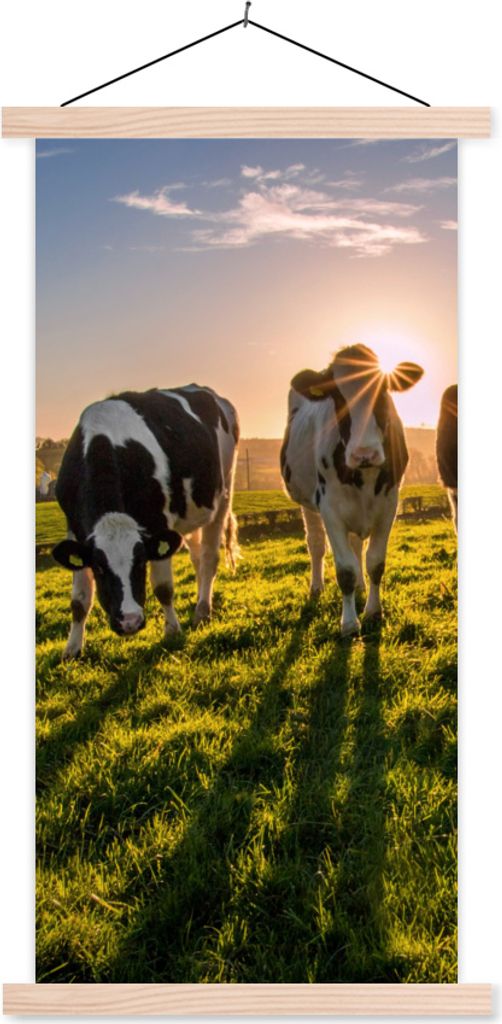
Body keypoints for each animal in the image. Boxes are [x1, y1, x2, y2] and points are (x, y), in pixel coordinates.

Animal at [52, 385, 239, 659]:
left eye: (140, 562)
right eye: (99, 568)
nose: (129, 622)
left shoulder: (158, 522)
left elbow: (163, 587)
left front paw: (172, 631)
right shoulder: (75, 530)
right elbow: (79, 598)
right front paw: (72, 649)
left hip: (223, 492)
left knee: (208, 557)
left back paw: (203, 609)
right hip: (190, 512)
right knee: (196, 556)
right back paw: (199, 597)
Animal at [280, 344, 424, 637]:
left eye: (384, 391)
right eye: (337, 396)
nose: (364, 454)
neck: (363, 476)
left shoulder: (388, 505)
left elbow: (375, 562)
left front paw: (373, 611)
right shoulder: (329, 508)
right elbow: (345, 569)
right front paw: (348, 623)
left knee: (357, 544)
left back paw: (360, 586)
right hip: (307, 502)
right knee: (316, 544)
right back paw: (316, 588)